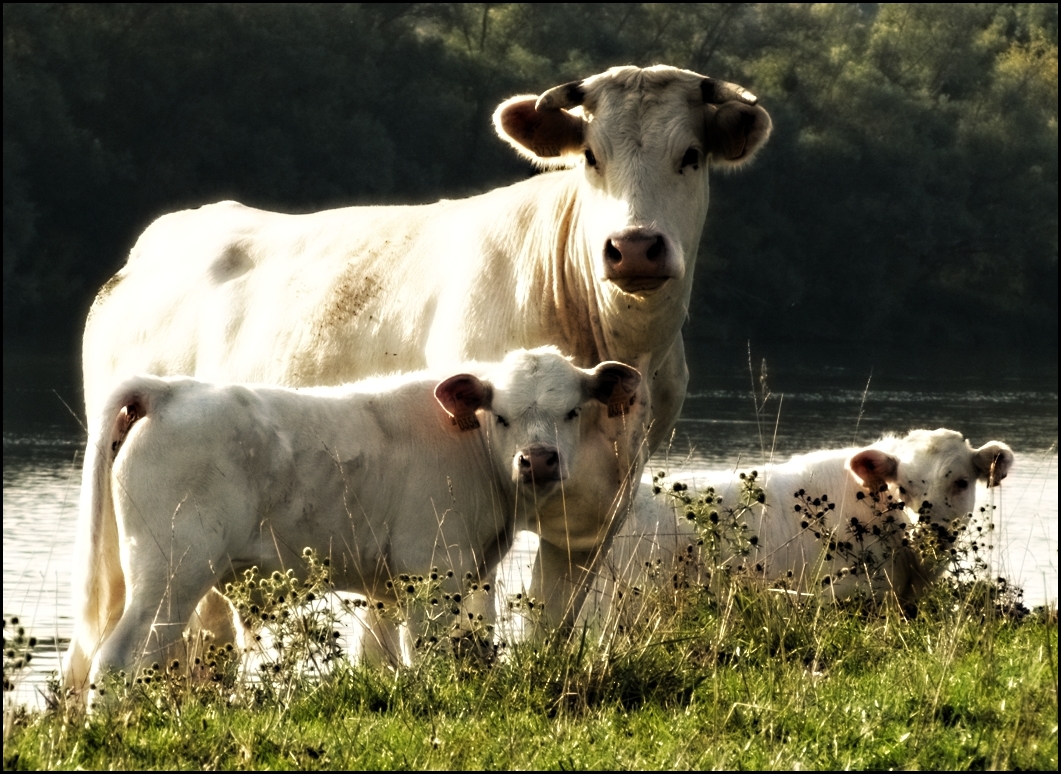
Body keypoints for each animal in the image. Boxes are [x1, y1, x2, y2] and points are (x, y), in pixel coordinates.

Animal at [64, 349, 636, 695]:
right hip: (171, 571)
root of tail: (170, 390)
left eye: (572, 412)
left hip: (134, 572)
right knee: (120, 660)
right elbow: (427, 654)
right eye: (501, 416)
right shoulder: (432, 569)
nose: (537, 460)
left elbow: (384, 656)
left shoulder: (397, 582)